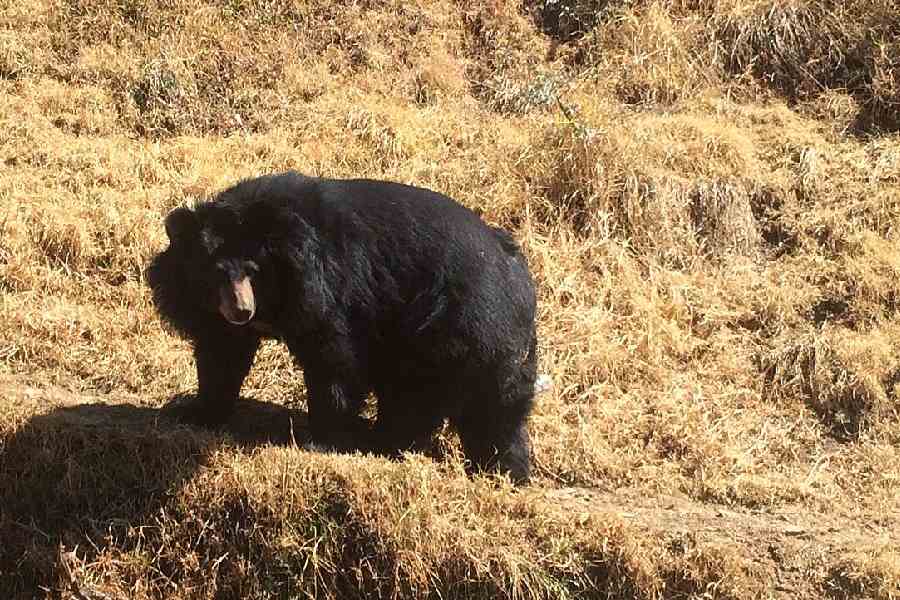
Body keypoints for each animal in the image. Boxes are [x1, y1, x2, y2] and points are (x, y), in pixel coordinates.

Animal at [145, 171, 539, 484]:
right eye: (216, 273)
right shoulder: (211, 311)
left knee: (443, 397)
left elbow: (333, 359)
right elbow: (222, 355)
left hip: (455, 327)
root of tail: (515, 269)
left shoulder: (326, 288)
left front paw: (320, 438)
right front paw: (196, 413)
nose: (242, 310)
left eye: (252, 272)